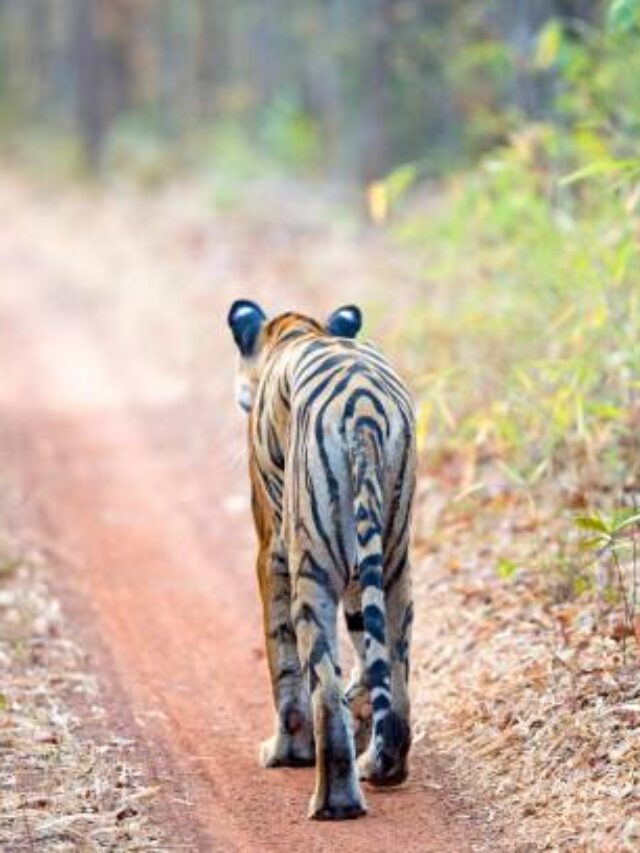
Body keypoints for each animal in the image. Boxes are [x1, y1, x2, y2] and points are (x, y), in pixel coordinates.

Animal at [228, 302, 418, 820]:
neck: (295, 331)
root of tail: (365, 411)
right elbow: (367, 657)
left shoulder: (269, 551)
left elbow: (283, 659)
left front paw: (285, 752)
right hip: (393, 560)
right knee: (397, 681)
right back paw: (380, 766)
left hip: (310, 569)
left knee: (323, 691)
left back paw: (335, 801)